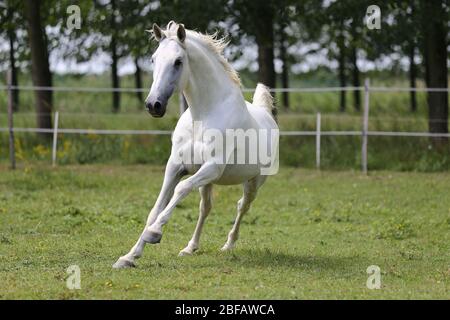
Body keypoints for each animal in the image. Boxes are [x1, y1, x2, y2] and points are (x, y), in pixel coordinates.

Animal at [112, 21, 278, 268]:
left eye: (178, 61)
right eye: (153, 59)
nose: (153, 105)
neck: (203, 116)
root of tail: (266, 114)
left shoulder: (212, 167)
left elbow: (180, 189)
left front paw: (154, 233)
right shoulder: (175, 166)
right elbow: (156, 208)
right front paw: (129, 257)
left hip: (253, 182)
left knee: (242, 206)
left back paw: (228, 245)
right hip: (208, 182)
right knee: (205, 208)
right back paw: (190, 248)